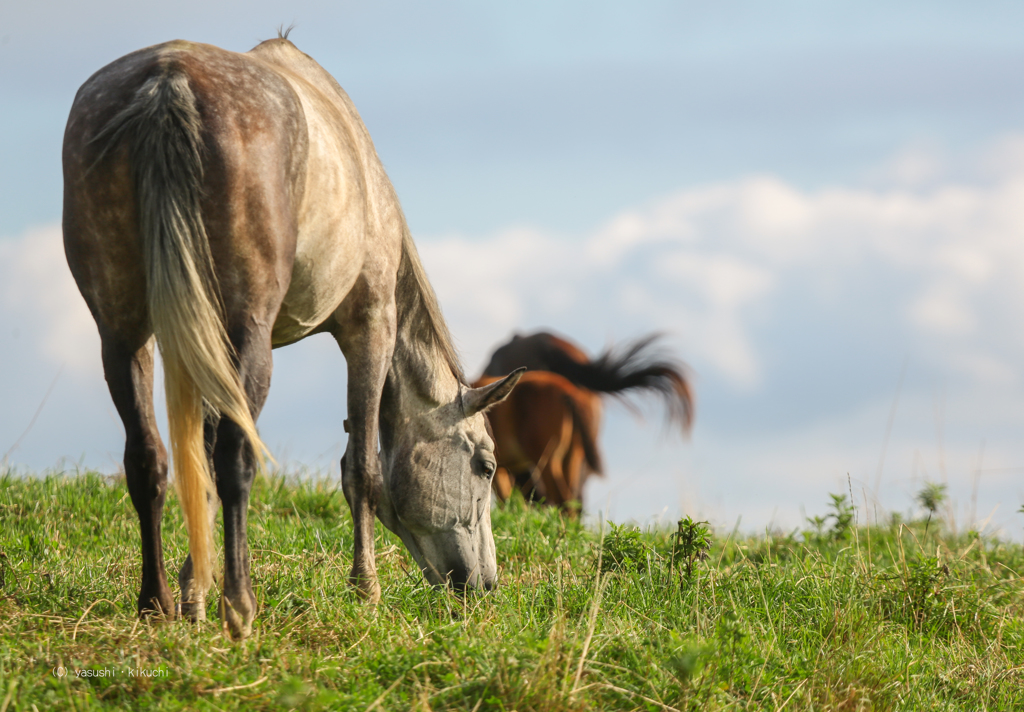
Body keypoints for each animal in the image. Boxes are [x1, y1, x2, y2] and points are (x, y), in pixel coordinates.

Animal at [60, 37, 524, 639]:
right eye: (485, 466)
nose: (484, 584)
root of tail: (169, 79)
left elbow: (198, 466)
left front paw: (192, 592)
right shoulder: (370, 328)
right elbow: (362, 470)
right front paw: (365, 590)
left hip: (123, 334)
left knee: (148, 458)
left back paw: (156, 603)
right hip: (247, 336)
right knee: (236, 457)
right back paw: (240, 605)